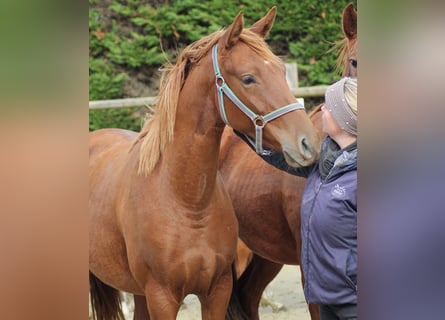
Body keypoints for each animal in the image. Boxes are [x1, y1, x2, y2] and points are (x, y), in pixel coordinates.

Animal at [89, 7, 320, 320]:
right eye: (248, 78)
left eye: (281, 72)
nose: (309, 142)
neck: (186, 199)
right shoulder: (162, 297)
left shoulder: (217, 291)